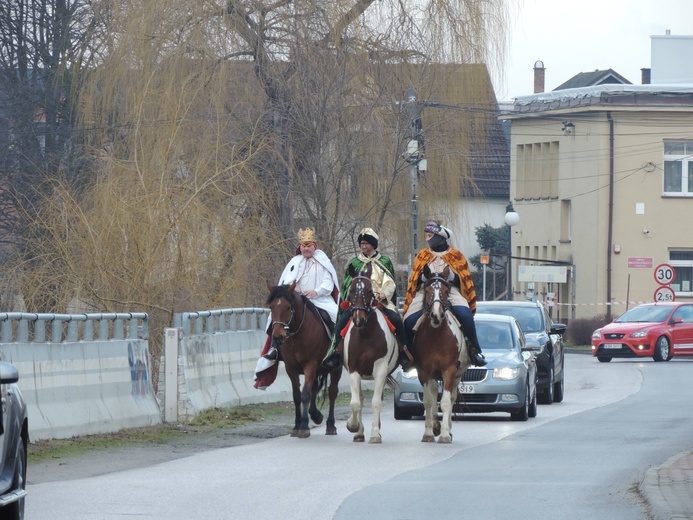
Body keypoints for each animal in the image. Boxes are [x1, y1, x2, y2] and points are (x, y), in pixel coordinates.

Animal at [264, 280, 340, 438]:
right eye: (272, 306)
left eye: (288, 307)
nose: (278, 336)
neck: (297, 334)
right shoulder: (291, 368)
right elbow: (297, 395)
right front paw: (297, 425)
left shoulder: (310, 365)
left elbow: (305, 393)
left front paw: (304, 426)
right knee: (315, 389)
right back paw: (316, 414)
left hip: (336, 367)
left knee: (332, 392)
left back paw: (330, 425)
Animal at [342, 264, 398, 442]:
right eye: (352, 290)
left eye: (368, 291)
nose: (358, 319)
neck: (365, 333)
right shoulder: (354, 369)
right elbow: (355, 403)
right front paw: (352, 426)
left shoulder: (380, 370)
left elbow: (376, 402)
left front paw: (374, 434)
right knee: (360, 399)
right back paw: (359, 433)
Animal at [410, 268, 470, 442]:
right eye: (427, 291)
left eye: (445, 291)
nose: (436, 315)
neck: (436, 335)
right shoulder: (423, 371)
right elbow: (429, 401)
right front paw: (429, 433)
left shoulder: (449, 370)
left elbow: (445, 402)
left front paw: (444, 434)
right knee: (434, 392)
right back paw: (435, 426)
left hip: (457, 374)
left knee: (451, 398)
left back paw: (447, 429)